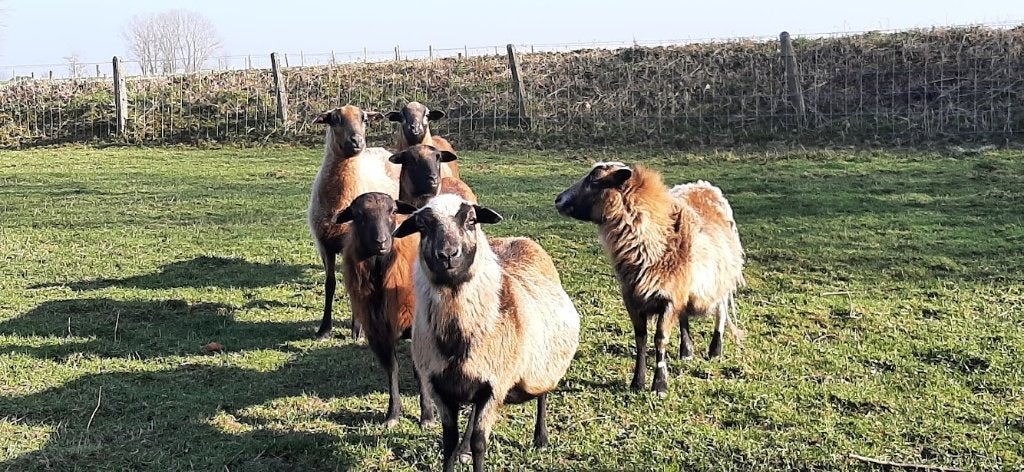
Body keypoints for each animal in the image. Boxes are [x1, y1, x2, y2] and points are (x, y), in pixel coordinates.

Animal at [308, 104, 401, 340]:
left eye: (364, 119)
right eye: (335, 119)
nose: (357, 141)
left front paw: (357, 330)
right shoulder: (324, 245)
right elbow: (330, 284)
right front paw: (324, 329)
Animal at [333, 192, 435, 427]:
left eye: (393, 211)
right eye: (358, 215)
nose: (381, 242)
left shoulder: (416, 328)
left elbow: (419, 371)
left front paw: (427, 415)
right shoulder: (379, 331)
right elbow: (392, 369)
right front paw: (393, 414)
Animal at [393, 194, 581, 471]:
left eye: (471, 220)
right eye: (422, 226)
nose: (448, 255)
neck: (457, 339)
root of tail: (519, 239)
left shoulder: (493, 387)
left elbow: (480, 443)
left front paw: (474, 452)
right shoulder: (441, 388)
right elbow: (449, 441)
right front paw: (457, 453)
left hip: (541, 363)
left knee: (543, 393)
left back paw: (541, 438)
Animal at [554, 162, 745, 396]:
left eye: (595, 180)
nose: (559, 200)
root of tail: (704, 185)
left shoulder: (669, 299)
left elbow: (660, 339)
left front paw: (660, 385)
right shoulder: (633, 298)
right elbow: (641, 338)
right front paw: (638, 381)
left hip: (722, 277)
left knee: (721, 309)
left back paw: (715, 349)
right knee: (685, 316)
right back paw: (687, 351)